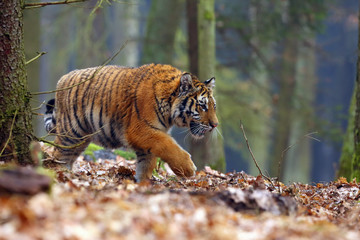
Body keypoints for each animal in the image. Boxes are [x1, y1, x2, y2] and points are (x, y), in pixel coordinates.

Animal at [45, 63, 219, 182]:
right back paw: (58, 175)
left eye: (214, 106)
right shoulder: (140, 129)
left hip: (80, 139)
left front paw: (143, 183)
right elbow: (168, 145)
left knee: (67, 157)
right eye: (203, 106)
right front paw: (187, 169)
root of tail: (62, 79)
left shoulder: (148, 136)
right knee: (56, 155)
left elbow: (146, 163)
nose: (215, 125)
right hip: (71, 133)